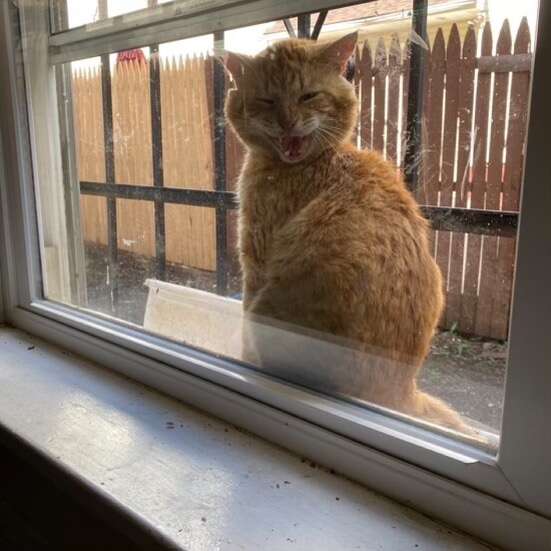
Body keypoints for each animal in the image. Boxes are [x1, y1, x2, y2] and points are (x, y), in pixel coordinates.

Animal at [223, 31, 470, 436]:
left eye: (308, 95)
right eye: (266, 100)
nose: (288, 123)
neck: (315, 161)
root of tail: (403, 392)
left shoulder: (255, 259)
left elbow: (244, 328)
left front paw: (244, 361)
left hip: (268, 308)